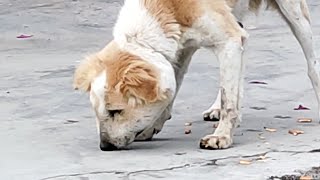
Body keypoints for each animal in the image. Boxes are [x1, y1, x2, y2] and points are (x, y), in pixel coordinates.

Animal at [73, 0, 320, 150]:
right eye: (96, 112)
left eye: (116, 111)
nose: (104, 146)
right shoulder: (183, 48)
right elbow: (175, 90)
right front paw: (152, 126)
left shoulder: (228, 39)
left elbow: (229, 100)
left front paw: (222, 136)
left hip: (294, 12)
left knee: (311, 64)